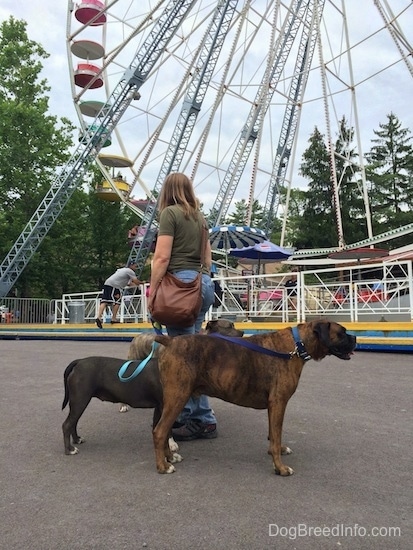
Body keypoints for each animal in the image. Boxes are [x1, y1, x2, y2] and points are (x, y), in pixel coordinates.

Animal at [60, 320, 241, 458]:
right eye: (229, 326)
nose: (242, 334)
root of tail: (79, 361)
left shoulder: (160, 407)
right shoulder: (165, 406)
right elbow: (166, 429)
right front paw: (171, 446)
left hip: (79, 400)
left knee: (73, 422)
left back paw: (77, 440)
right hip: (80, 398)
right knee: (67, 424)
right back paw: (70, 449)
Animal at [151, 322, 354, 476]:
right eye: (342, 333)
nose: (354, 338)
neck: (298, 344)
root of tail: (170, 341)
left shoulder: (274, 406)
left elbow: (274, 434)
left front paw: (277, 450)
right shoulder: (279, 403)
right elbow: (276, 435)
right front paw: (280, 468)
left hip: (173, 400)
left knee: (164, 430)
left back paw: (169, 457)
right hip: (177, 397)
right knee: (160, 431)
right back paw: (163, 466)